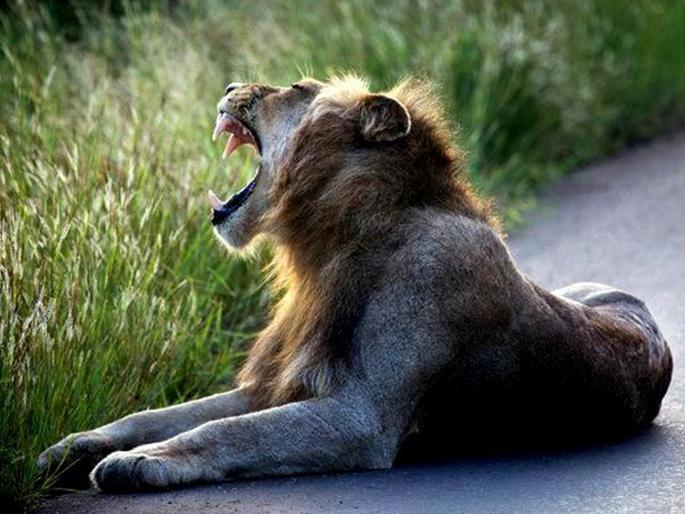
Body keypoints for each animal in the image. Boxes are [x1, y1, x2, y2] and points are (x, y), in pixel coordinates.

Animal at [38, 76, 673, 492]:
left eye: (294, 88)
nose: (230, 84)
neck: (328, 246)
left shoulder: (361, 417)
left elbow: (226, 432)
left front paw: (139, 461)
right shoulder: (278, 383)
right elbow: (164, 413)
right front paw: (72, 446)